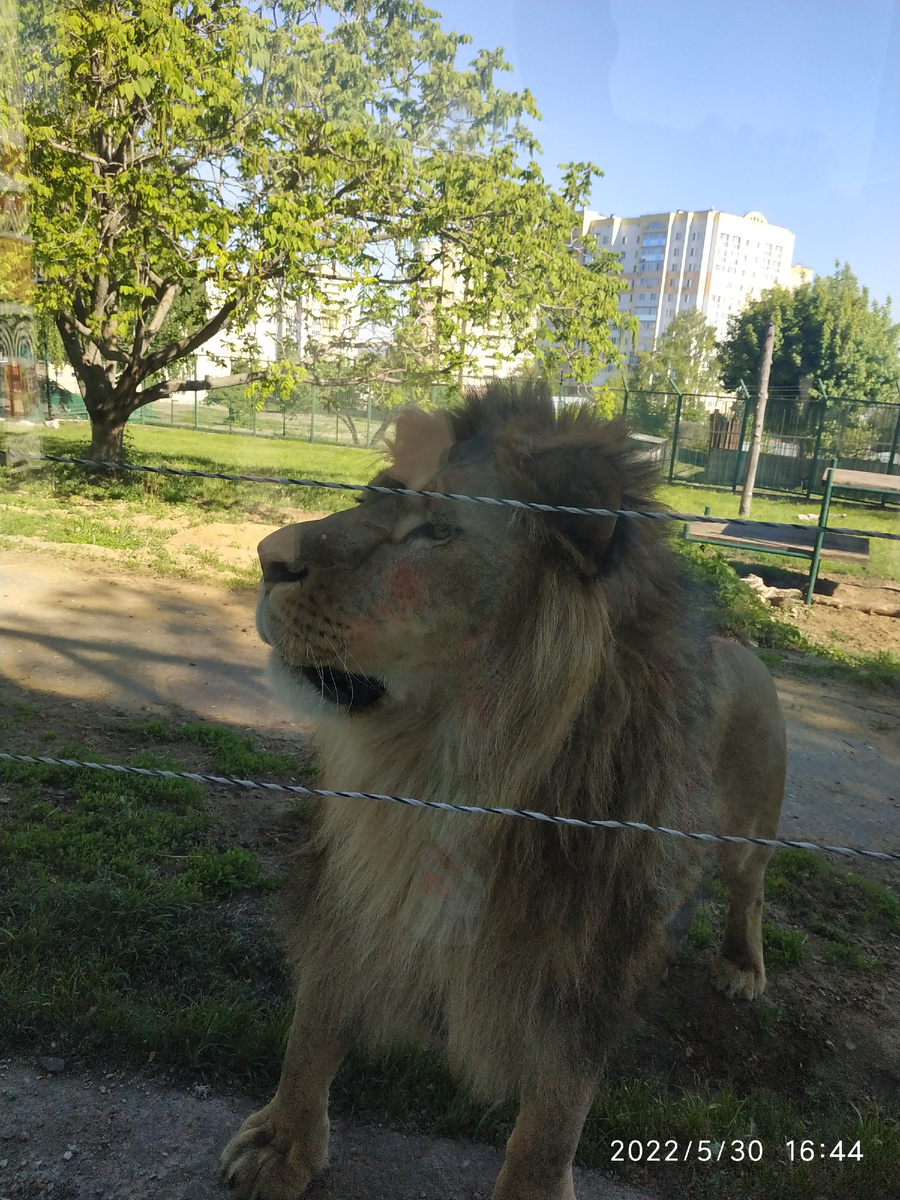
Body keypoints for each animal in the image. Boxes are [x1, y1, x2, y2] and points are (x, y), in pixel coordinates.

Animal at [221, 380, 786, 1200]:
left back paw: (743, 966)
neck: (451, 766)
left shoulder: (584, 953)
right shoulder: (356, 884)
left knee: (750, 891)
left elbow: (554, 1112)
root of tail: (741, 645)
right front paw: (283, 1144)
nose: (267, 558)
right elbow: (316, 1021)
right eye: (376, 496)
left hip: (750, 831)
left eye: (436, 531)